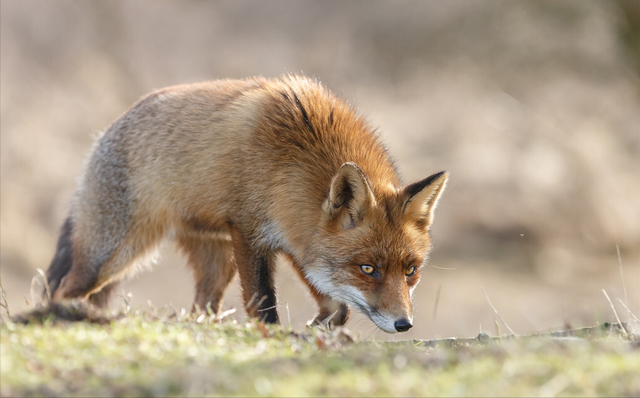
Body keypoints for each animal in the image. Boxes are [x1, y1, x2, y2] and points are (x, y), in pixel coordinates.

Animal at [45, 74, 448, 332]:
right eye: (367, 269)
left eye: (411, 271)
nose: (404, 324)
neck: (294, 159)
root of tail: (106, 132)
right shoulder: (250, 233)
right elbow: (264, 305)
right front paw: (277, 337)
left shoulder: (298, 239)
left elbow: (337, 310)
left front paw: (314, 332)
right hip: (112, 255)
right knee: (65, 288)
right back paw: (63, 315)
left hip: (216, 260)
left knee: (202, 305)